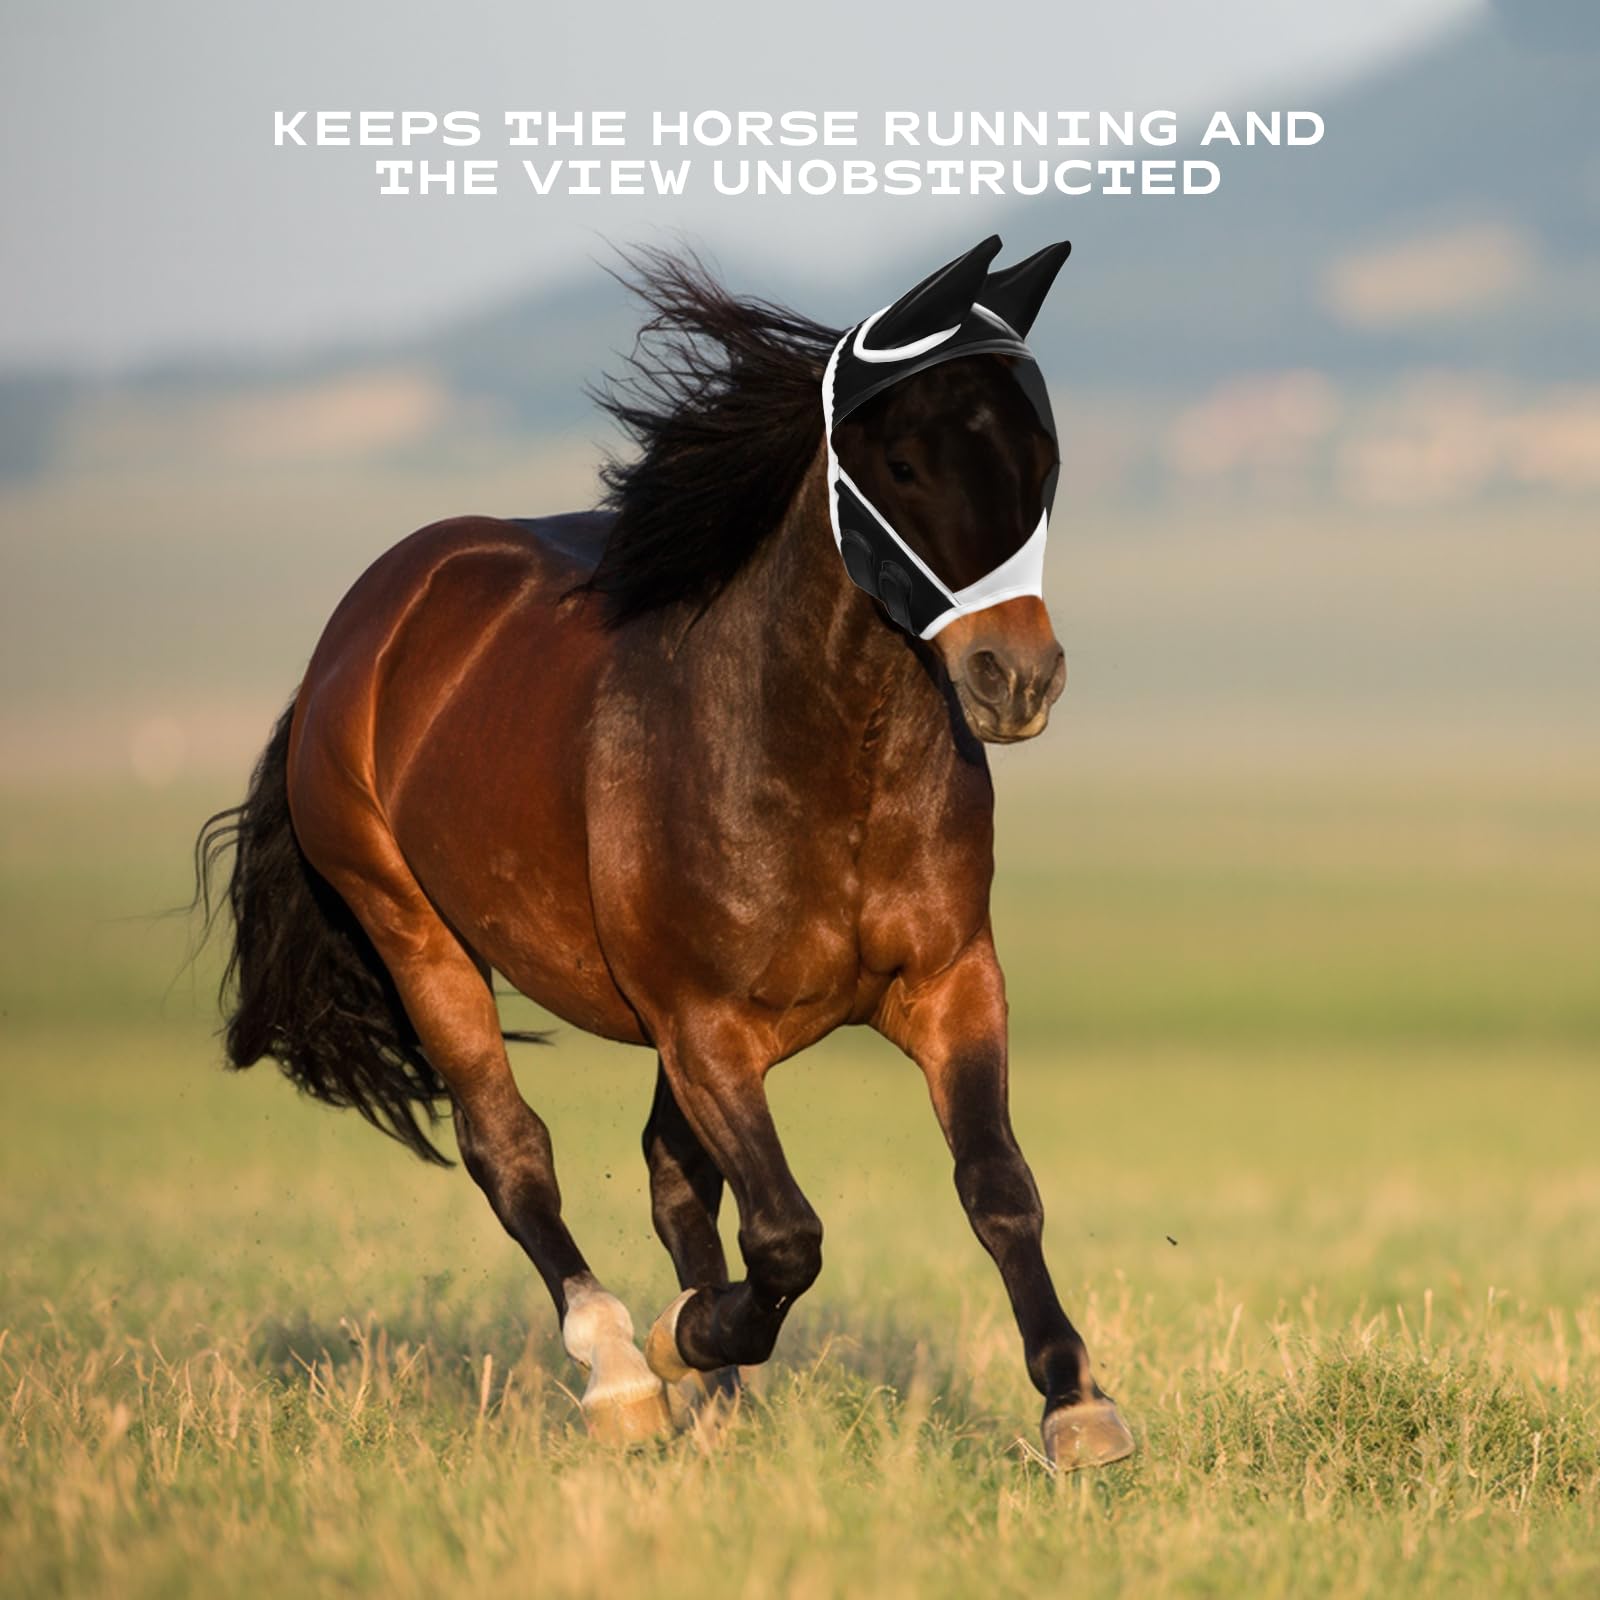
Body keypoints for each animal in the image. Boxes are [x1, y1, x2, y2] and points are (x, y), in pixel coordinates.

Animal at [197, 234, 1134, 1470]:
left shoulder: (949, 983)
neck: (816, 751)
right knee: (512, 1152)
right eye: (900, 459)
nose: (1014, 676)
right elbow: (787, 1235)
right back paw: (624, 1373)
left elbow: (996, 1187)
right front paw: (685, 1338)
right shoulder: (705, 1027)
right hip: (418, 936)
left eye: (1043, 457)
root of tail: (366, 624)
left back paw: (711, 1401)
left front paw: (1076, 1406)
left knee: (665, 1173)